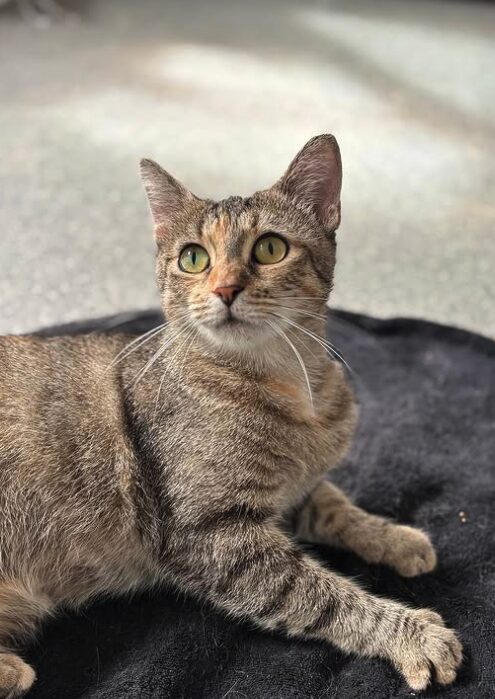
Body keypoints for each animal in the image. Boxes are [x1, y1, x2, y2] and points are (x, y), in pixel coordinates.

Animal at [0, 134, 464, 696]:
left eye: (270, 247)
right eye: (193, 258)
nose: (224, 289)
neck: (289, 385)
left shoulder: (295, 492)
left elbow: (340, 508)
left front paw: (394, 537)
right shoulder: (214, 535)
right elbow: (321, 594)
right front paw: (409, 632)